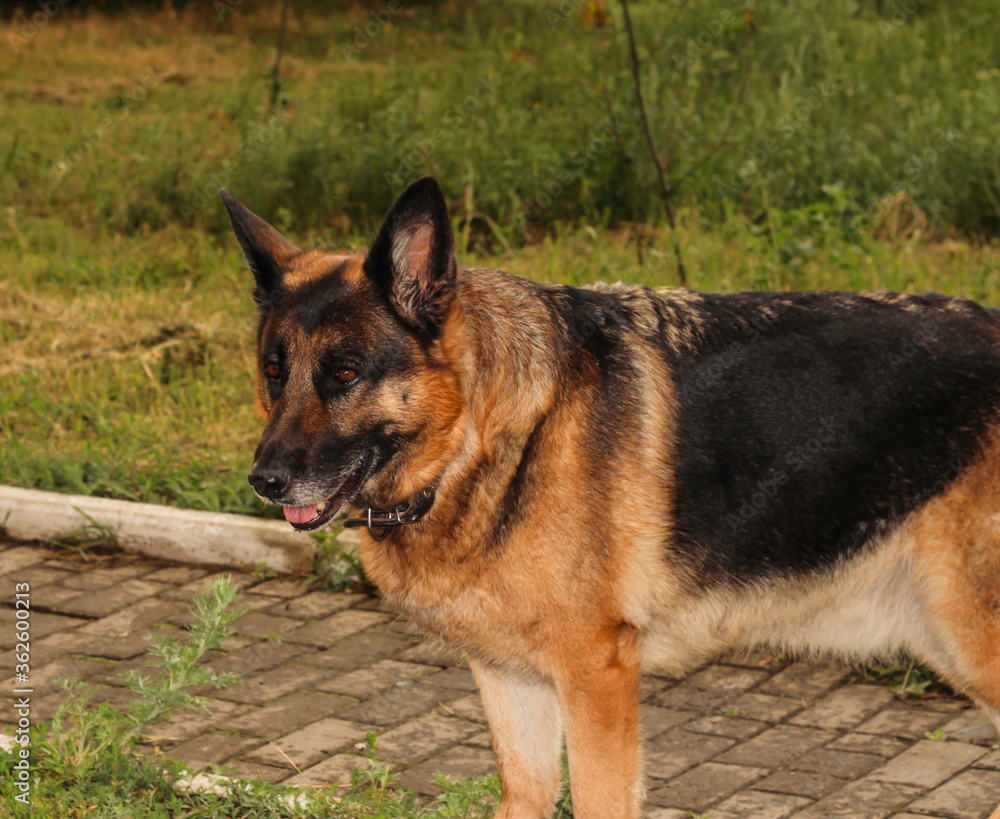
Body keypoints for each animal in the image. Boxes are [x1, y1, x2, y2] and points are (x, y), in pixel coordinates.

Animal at [225, 179, 1000, 819]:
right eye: (274, 371)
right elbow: (526, 794)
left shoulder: (594, 676)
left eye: (345, 373)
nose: (265, 480)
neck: (491, 438)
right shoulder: (511, 680)